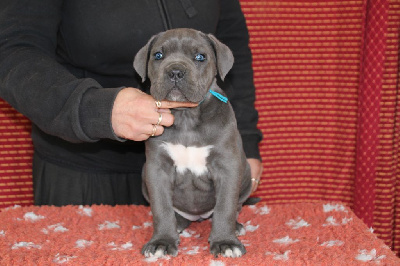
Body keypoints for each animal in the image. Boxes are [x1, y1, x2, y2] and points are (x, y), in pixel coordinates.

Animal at [134, 27, 253, 258]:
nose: (175, 71)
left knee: (233, 206)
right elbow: (161, 207)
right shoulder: (156, 169)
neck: (186, 116)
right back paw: (178, 223)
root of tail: (198, 216)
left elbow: (225, 207)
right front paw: (161, 241)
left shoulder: (227, 167)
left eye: (200, 57)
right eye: (158, 55)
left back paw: (236, 226)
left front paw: (225, 242)